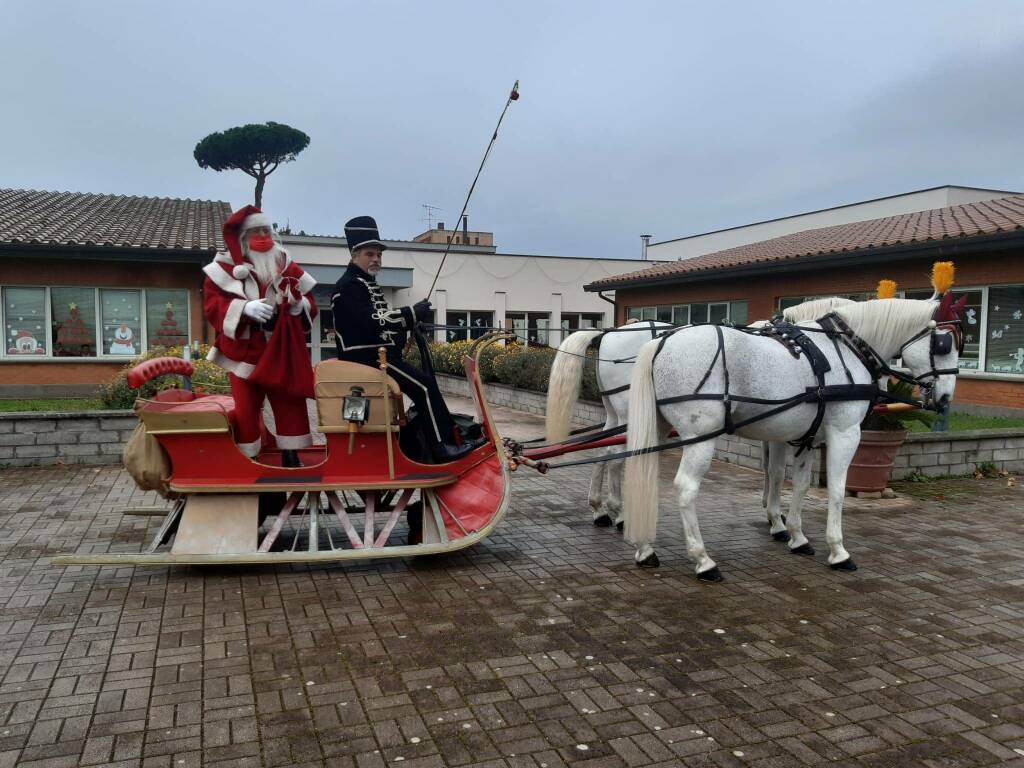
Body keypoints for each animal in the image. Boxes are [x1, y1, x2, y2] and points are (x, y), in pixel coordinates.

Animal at [548, 299, 851, 528]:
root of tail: (608, 333)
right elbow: (775, 469)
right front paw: (775, 517)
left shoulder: (775, 425)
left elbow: (770, 467)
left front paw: (771, 510)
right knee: (616, 455)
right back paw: (619, 513)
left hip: (614, 411)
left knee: (604, 450)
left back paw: (599, 509)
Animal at [622, 296, 958, 581]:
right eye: (944, 345)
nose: (944, 399)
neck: (846, 348)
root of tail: (661, 342)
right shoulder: (845, 432)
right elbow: (837, 490)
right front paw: (838, 551)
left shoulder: (806, 436)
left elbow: (800, 485)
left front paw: (797, 536)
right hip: (700, 437)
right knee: (686, 489)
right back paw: (703, 561)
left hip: (659, 430)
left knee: (644, 475)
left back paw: (645, 550)